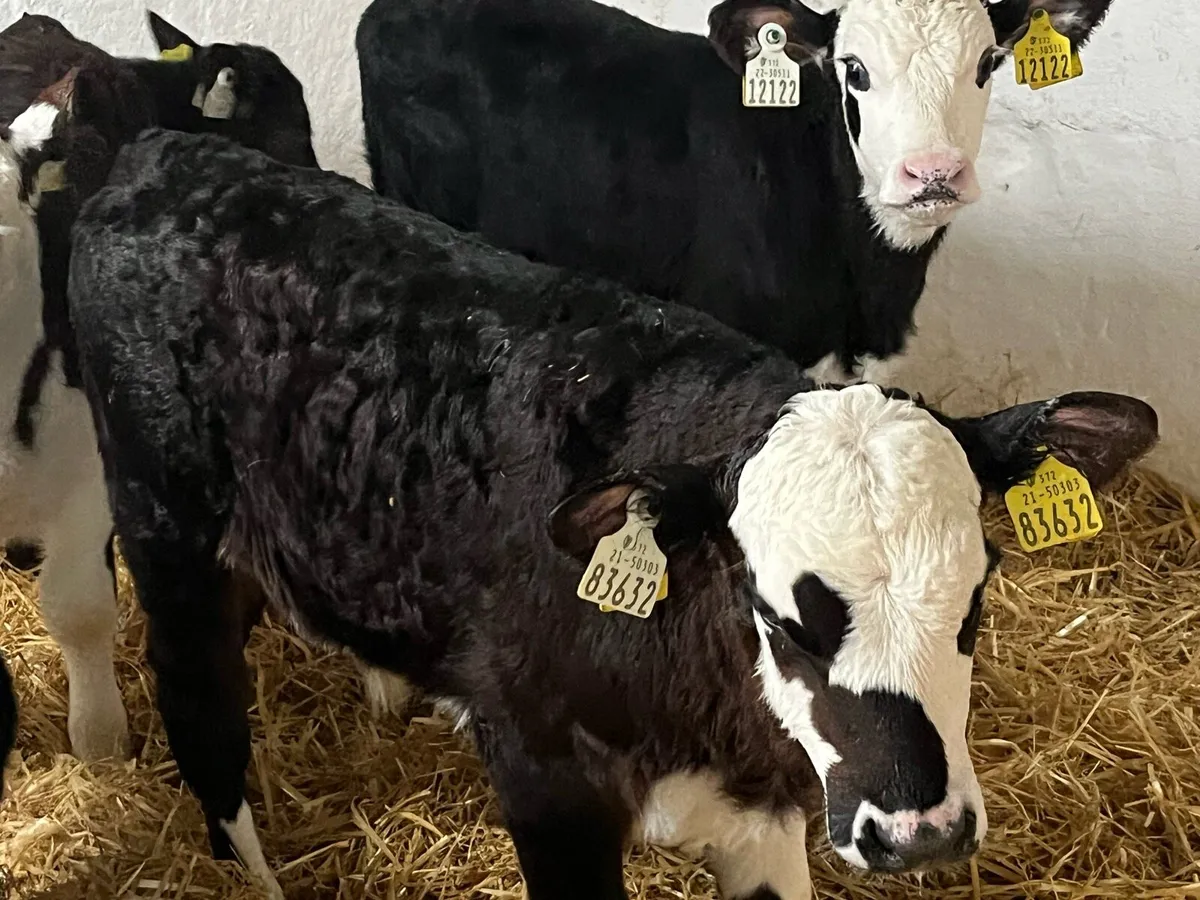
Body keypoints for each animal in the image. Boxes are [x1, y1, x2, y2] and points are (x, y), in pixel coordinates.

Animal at [66, 129, 1158, 899]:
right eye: (777, 617)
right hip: (165, 521)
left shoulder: (760, 814)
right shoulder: (545, 778)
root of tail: (169, 154)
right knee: (198, 697)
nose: (919, 833)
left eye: (978, 594)